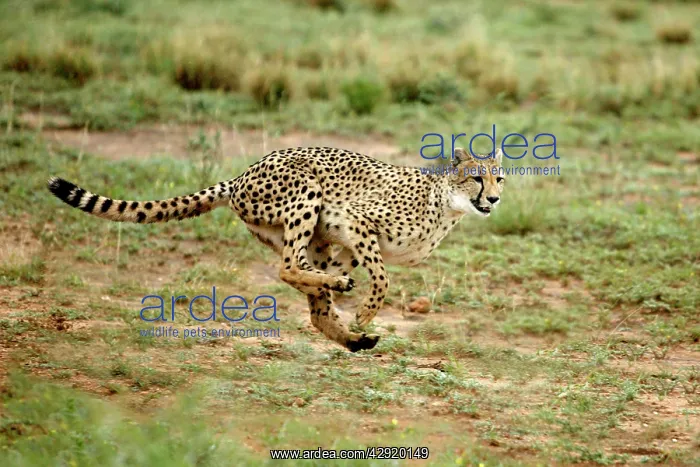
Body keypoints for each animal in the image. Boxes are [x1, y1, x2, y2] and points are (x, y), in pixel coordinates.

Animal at [47, 146, 505, 352]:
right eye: (476, 177)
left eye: (498, 177)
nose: (495, 198)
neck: (448, 205)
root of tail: (241, 174)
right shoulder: (354, 220)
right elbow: (382, 276)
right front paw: (364, 313)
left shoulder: (346, 241)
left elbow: (353, 278)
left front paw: (353, 317)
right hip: (306, 195)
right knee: (286, 269)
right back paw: (345, 307)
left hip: (308, 235)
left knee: (308, 292)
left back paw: (349, 333)